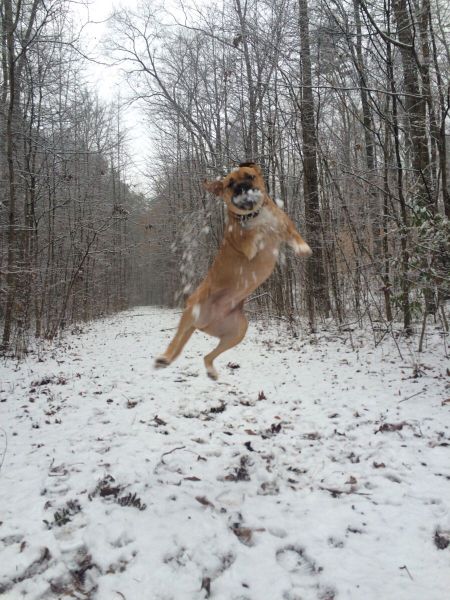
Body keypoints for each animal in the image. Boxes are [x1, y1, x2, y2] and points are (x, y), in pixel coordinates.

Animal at [153, 163, 312, 380]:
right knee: (175, 340)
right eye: (230, 184)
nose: (242, 187)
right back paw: (165, 357)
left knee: (207, 356)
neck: (255, 213)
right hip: (192, 311)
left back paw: (210, 370)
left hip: (237, 332)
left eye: (250, 176)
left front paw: (302, 247)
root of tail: (204, 322)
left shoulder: (284, 224)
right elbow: (253, 231)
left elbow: (292, 232)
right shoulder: (248, 243)